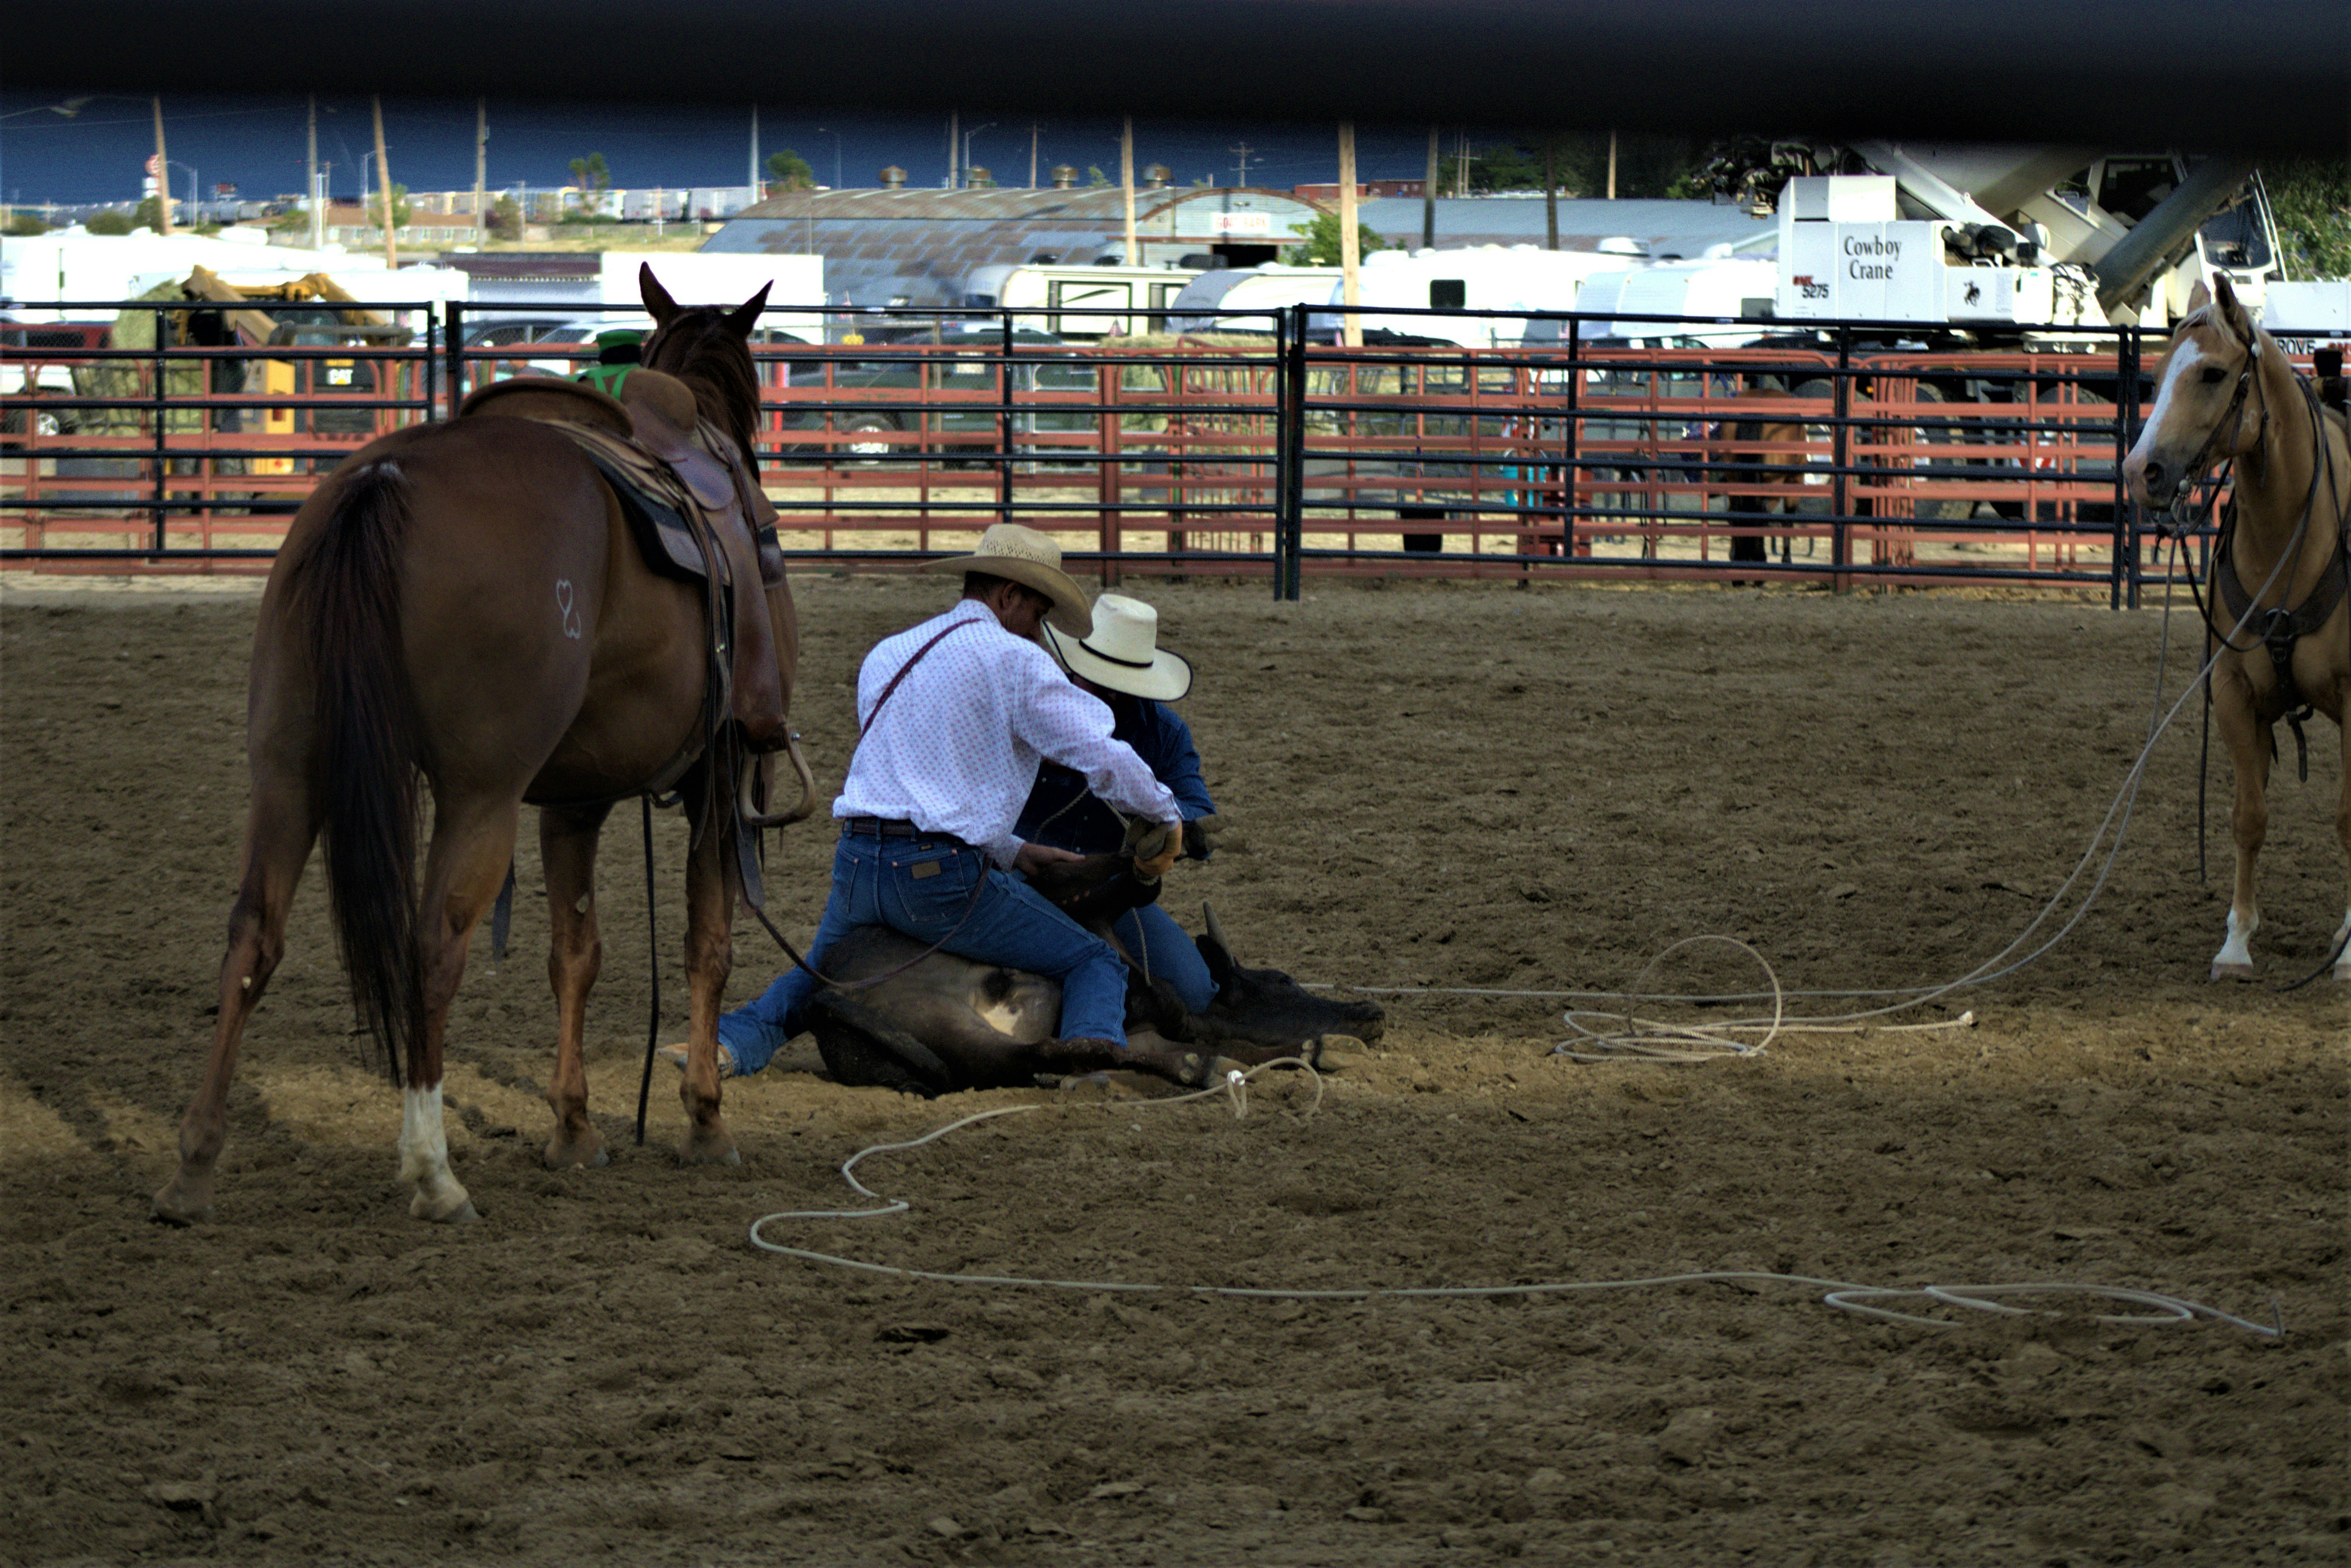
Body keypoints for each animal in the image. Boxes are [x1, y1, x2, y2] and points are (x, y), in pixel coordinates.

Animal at [154, 266, 812, 1224]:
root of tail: (385, 478)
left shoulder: (575, 797)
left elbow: (575, 954)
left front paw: (574, 1130)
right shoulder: (724, 782)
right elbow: (709, 945)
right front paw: (705, 1121)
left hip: (289, 767)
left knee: (252, 935)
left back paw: (195, 1166)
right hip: (479, 794)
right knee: (433, 946)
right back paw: (432, 1172)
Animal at [2123, 276, 2351, 983]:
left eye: (2213, 373)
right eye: (2157, 374)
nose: (2139, 472)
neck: (2294, 533)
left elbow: (2349, 819)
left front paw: (2349, 950)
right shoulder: (2231, 692)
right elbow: (2249, 817)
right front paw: (2237, 943)